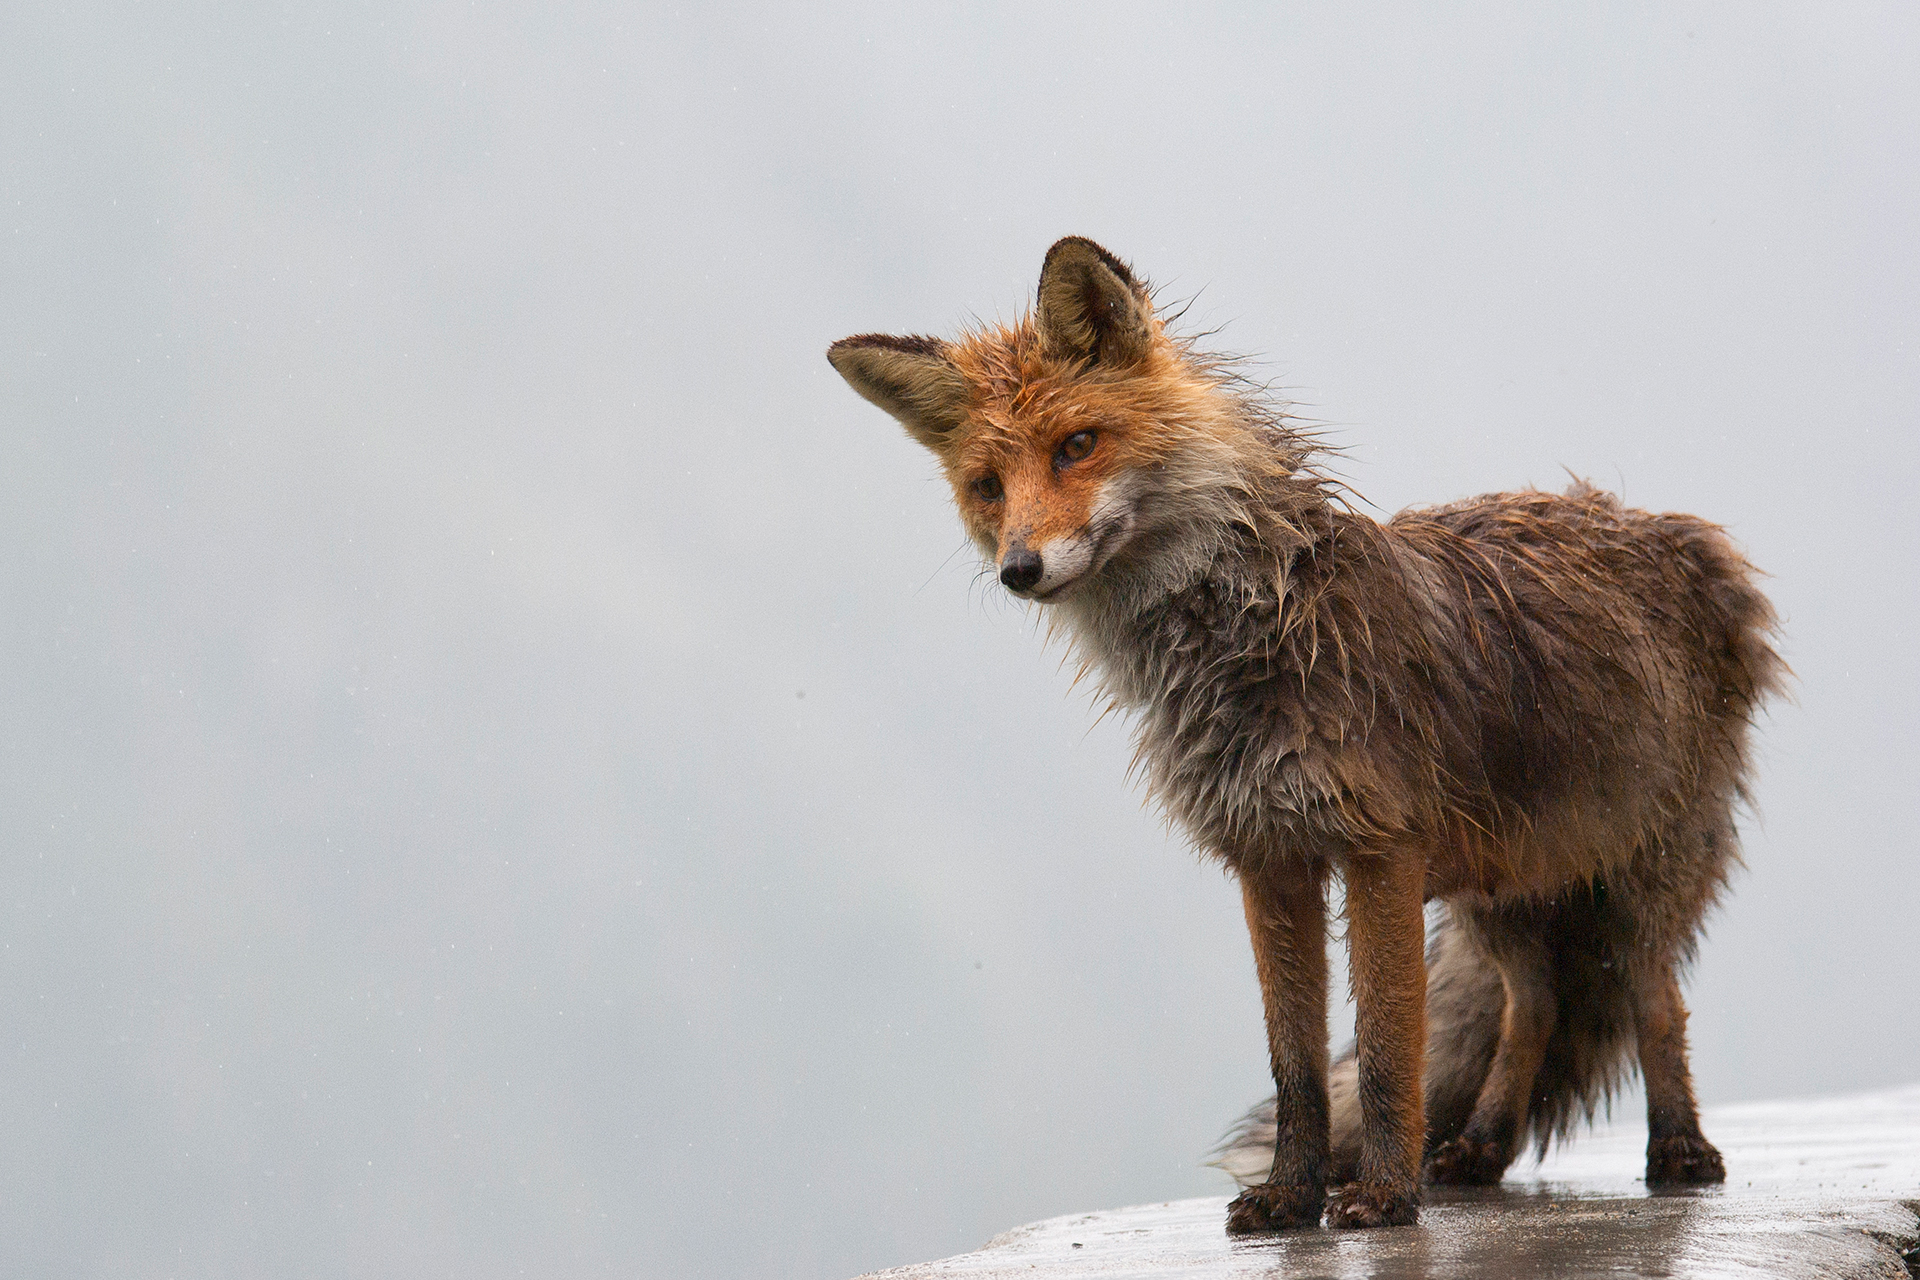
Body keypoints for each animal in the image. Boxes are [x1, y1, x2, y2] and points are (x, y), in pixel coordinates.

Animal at [826, 236, 1782, 1232]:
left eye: (1076, 445)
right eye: (987, 486)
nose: (1019, 568)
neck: (1251, 643)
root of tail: (1683, 538)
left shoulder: (1380, 851)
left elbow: (1389, 1048)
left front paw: (1384, 1195)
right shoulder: (1267, 858)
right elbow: (1297, 1063)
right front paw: (1291, 1193)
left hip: (1640, 876)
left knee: (1655, 1003)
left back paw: (1679, 1149)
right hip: (1507, 892)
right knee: (1536, 1008)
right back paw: (1481, 1148)